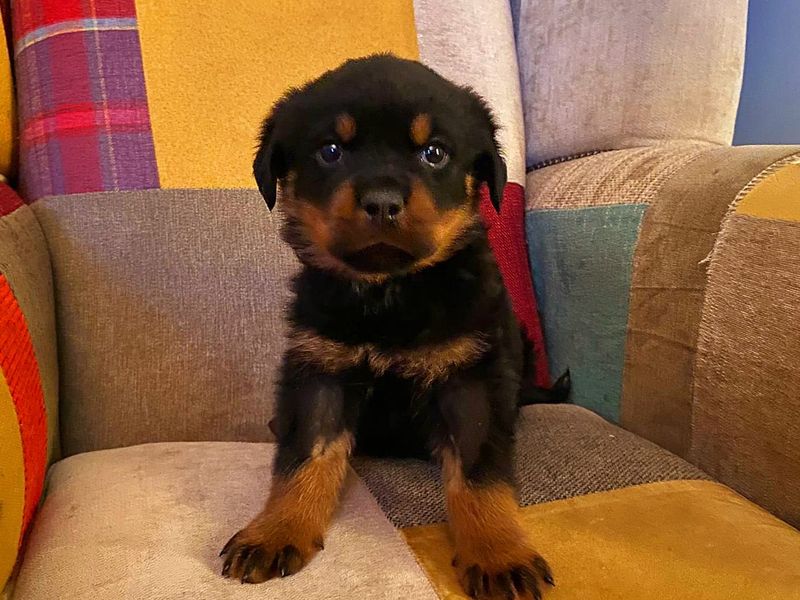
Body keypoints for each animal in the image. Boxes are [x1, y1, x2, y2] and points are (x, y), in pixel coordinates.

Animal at [222, 54, 564, 596]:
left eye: (434, 153)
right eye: (331, 152)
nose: (382, 201)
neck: (388, 293)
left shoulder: (469, 379)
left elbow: (479, 476)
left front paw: (497, 554)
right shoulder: (320, 371)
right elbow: (303, 458)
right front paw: (275, 531)